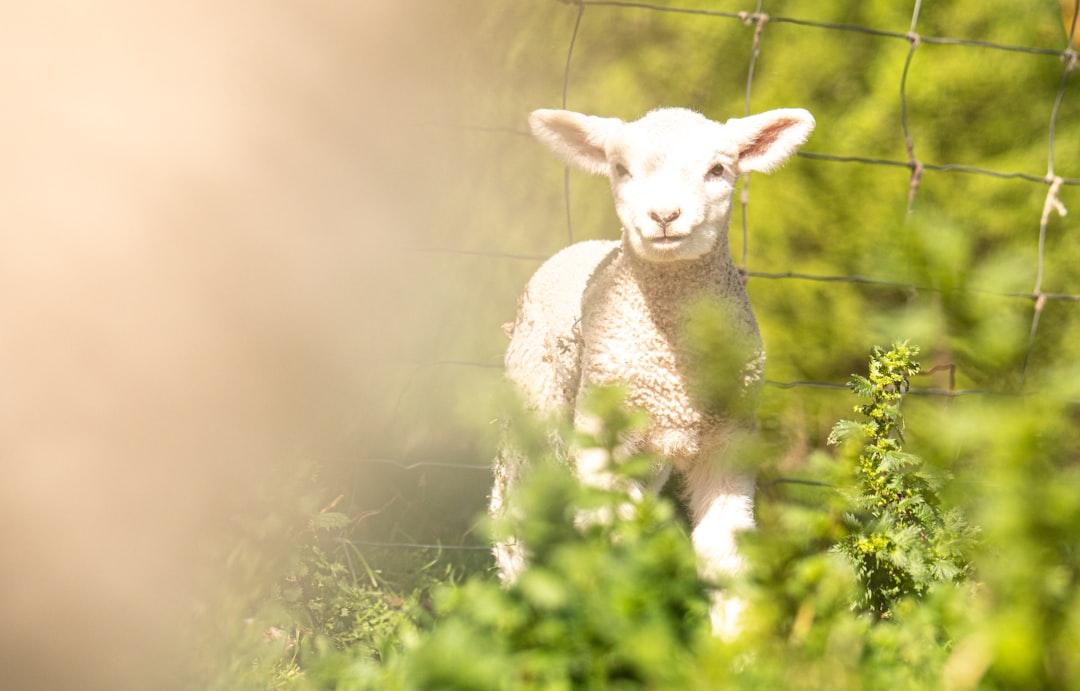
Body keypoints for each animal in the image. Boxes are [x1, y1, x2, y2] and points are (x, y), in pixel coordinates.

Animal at [494, 103, 812, 639]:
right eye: (621, 170)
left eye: (718, 170)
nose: (664, 216)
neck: (670, 360)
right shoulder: (599, 431)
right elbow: (613, 526)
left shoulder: (729, 438)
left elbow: (723, 552)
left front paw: (733, 644)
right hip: (533, 403)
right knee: (512, 508)